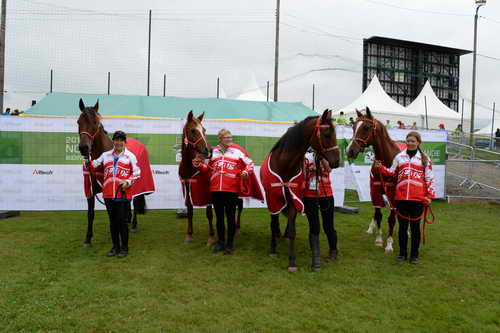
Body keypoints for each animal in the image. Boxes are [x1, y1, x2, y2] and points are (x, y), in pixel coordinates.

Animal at [76, 98, 146, 246]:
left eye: (95, 122)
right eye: (79, 121)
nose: (84, 148)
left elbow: (112, 213)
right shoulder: (90, 188)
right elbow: (90, 213)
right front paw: (88, 238)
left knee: (135, 202)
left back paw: (134, 224)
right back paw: (128, 220)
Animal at [179, 111, 216, 244]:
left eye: (204, 130)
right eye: (193, 130)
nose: (208, 150)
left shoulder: (206, 190)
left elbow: (209, 212)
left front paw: (211, 237)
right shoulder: (187, 186)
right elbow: (189, 210)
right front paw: (189, 235)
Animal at [260, 110, 342, 272]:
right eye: (327, 135)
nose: (336, 161)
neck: (285, 165)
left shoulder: (294, 199)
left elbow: (293, 230)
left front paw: (292, 262)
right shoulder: (273, 198)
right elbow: (273, 223)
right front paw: (273, 250)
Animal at [348, 107, 402, 250]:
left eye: (366, 127)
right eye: (353, 126)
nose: (350, 151)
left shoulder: (392, 193)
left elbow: (391, 218)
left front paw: (389, 244)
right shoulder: (376, 189)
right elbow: (378, 214)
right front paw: (378, 239)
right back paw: (371, 228)